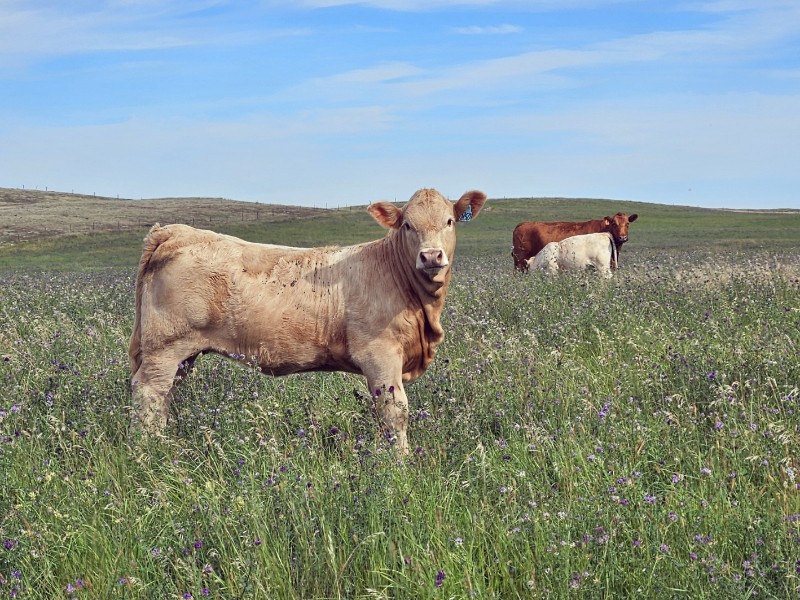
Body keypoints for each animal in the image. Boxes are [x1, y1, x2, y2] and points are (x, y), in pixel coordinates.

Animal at [128, 188, 486, 454]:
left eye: (450, 221)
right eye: (407, 225)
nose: (431, 256)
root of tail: (176, 230)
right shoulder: (379, 354)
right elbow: (394, 411)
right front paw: (401, 463)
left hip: (182, 355)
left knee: (166, 395)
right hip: (164, 347)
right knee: (149, 394)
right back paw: (151, 451)